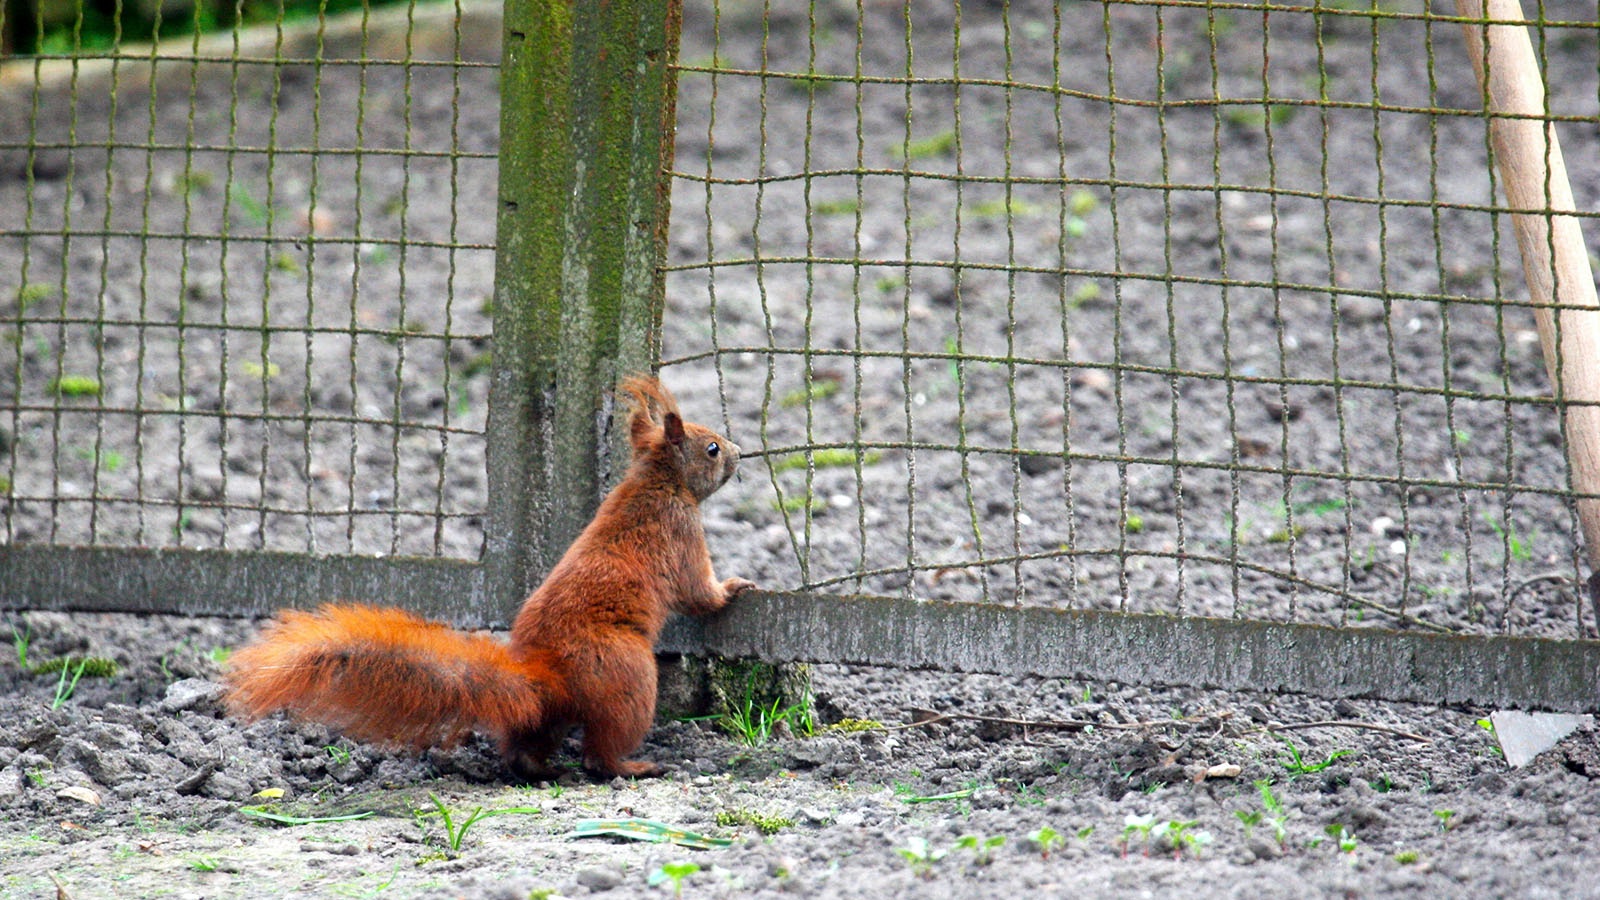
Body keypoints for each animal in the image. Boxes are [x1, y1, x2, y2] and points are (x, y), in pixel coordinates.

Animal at [223, 375, 755, 779]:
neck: (657, 483)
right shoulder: (681, 534)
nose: (739, 452)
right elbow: (698, 593)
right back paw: (633, 767)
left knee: (527, 749)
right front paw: (735, 588)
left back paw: (544, 770)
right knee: (600, 754)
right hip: (629, 678)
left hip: (552, 715)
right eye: (711, 448)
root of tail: (546, 674)